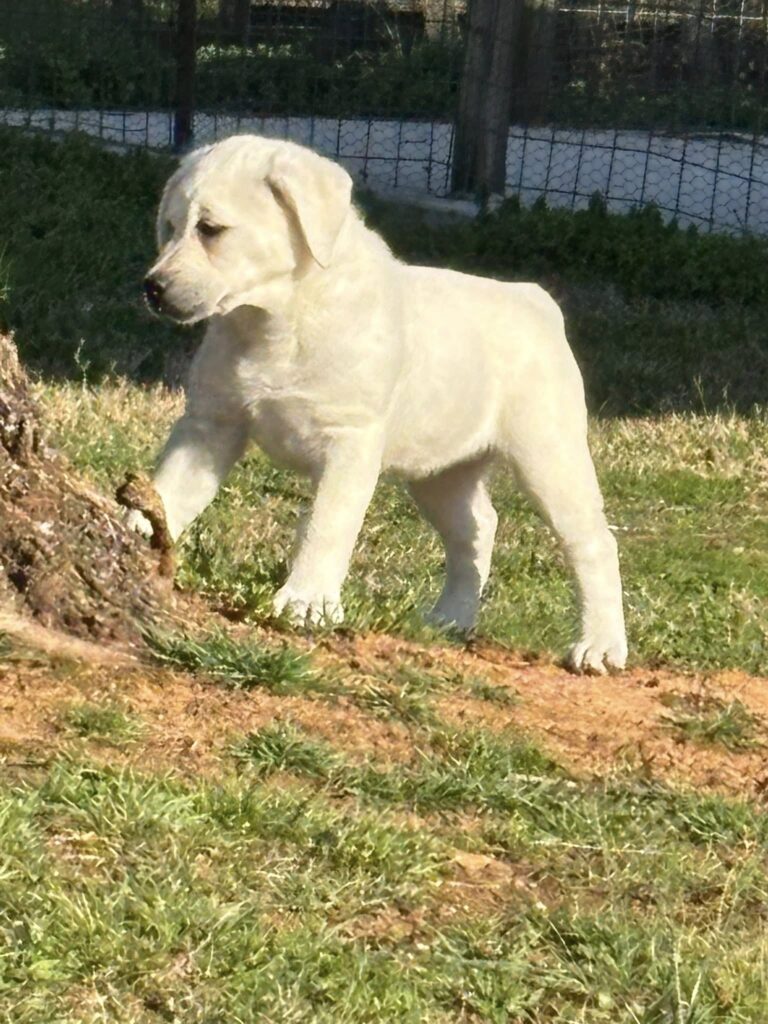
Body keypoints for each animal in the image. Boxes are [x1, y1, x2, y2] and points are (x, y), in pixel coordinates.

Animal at [133, 134, 627, 674]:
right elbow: (169, 490)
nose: (152, 287)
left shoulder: (348, 444)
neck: (279, 319)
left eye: (211, 230)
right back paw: (453, 617)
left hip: (548, 456)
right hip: (441, 475)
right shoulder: (210, 426)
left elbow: (326, 525)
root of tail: (535, 299)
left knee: (594, 544)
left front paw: (306, 602)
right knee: (477, 529)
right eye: (169, 228)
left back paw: (601, 646)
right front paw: (134, 528)